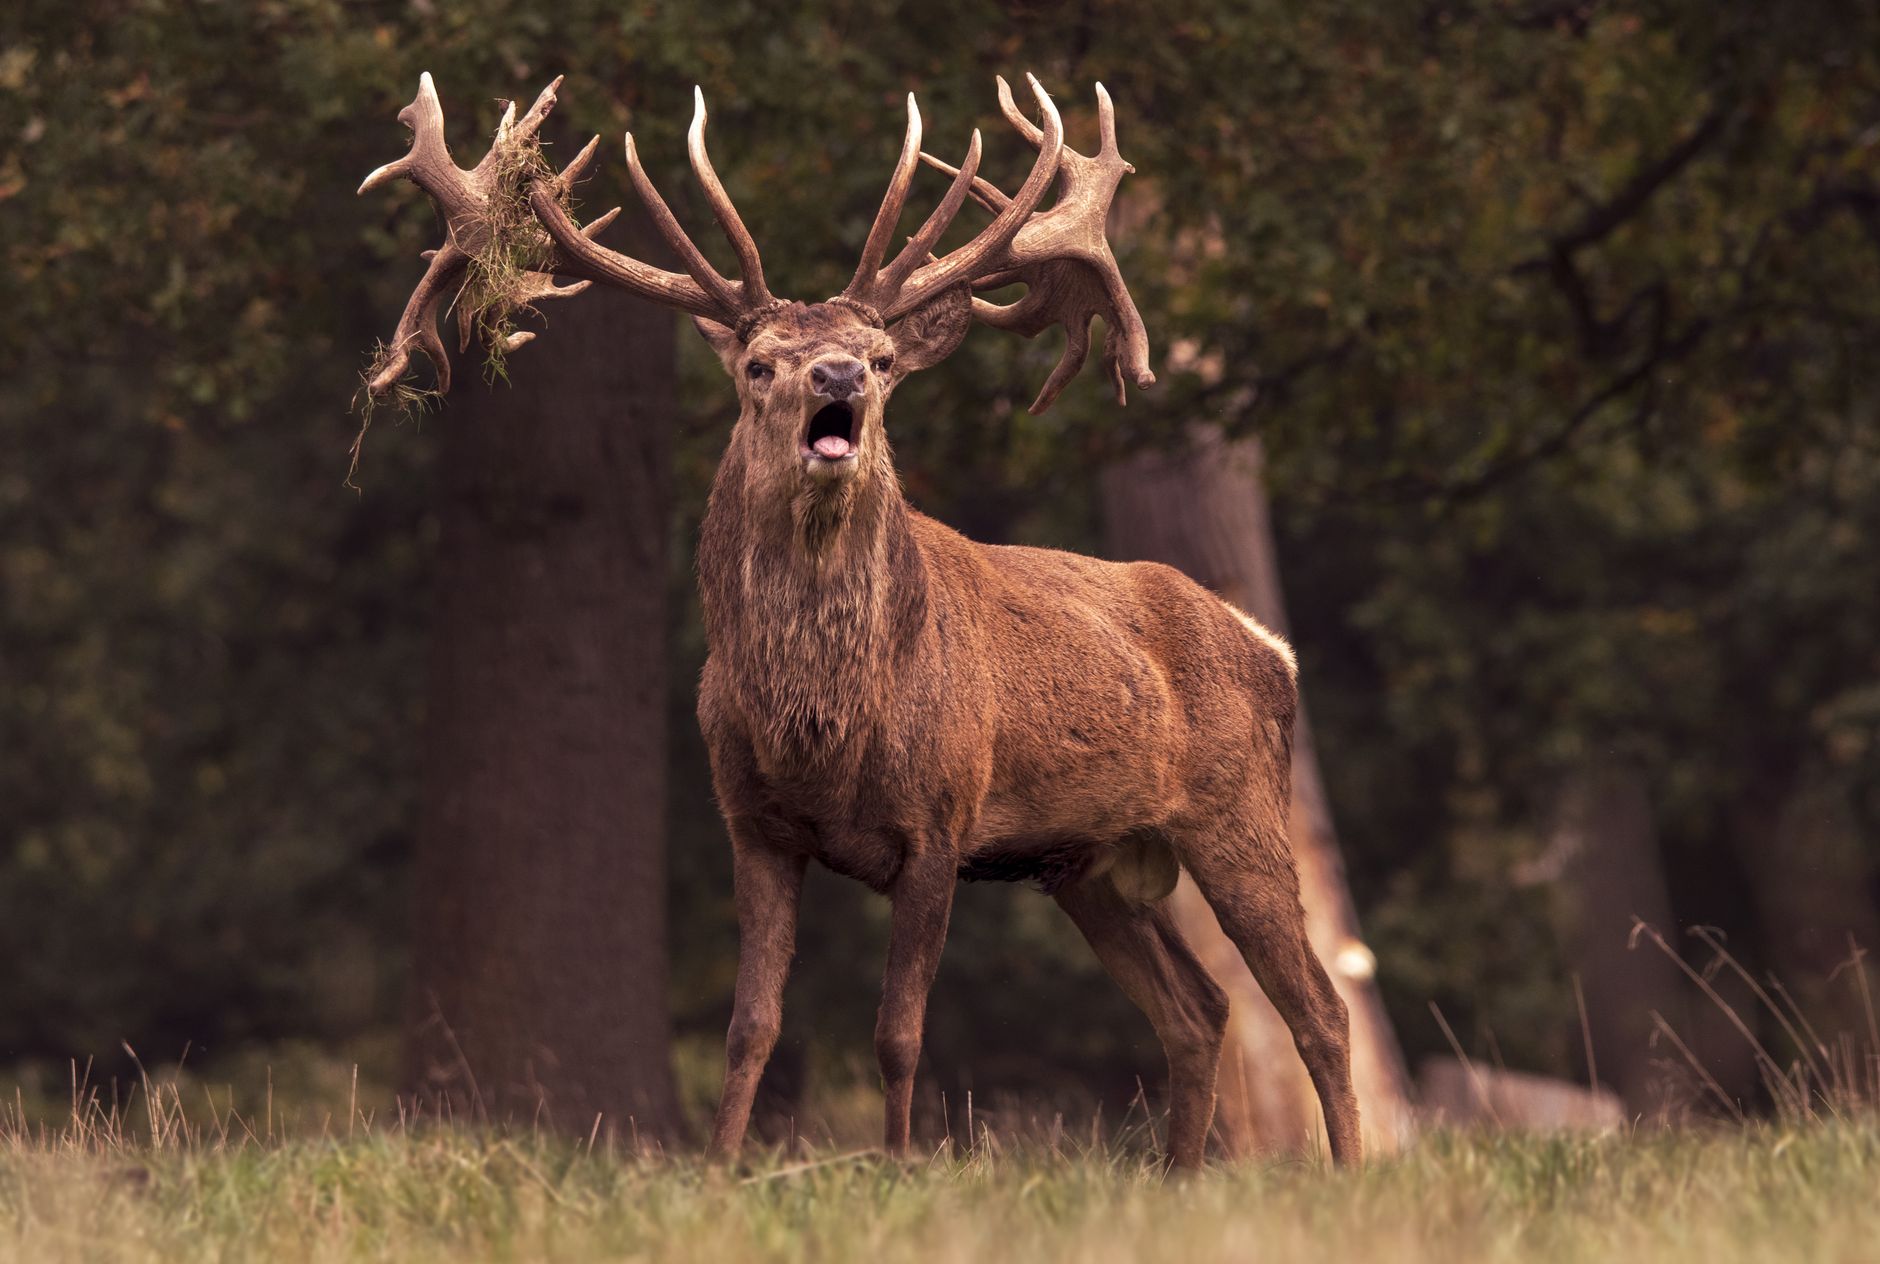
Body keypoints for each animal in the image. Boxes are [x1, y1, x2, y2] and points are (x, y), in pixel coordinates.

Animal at [358, 70, 1361, 1169]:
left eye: (879, 358)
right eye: (758, 362)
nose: (834, 378)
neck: (822, 734)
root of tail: (1271, 648)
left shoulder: (941, 820)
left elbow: (898, 1032)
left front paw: (900, 1166)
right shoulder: (751, 824)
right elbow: (750, 1023)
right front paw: (720, 1169)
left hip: (1239, 810)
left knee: (1318, 1006)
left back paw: (1348, 1171)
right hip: (1085, 862)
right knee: (1199, 1008)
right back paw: (1180, 1178)